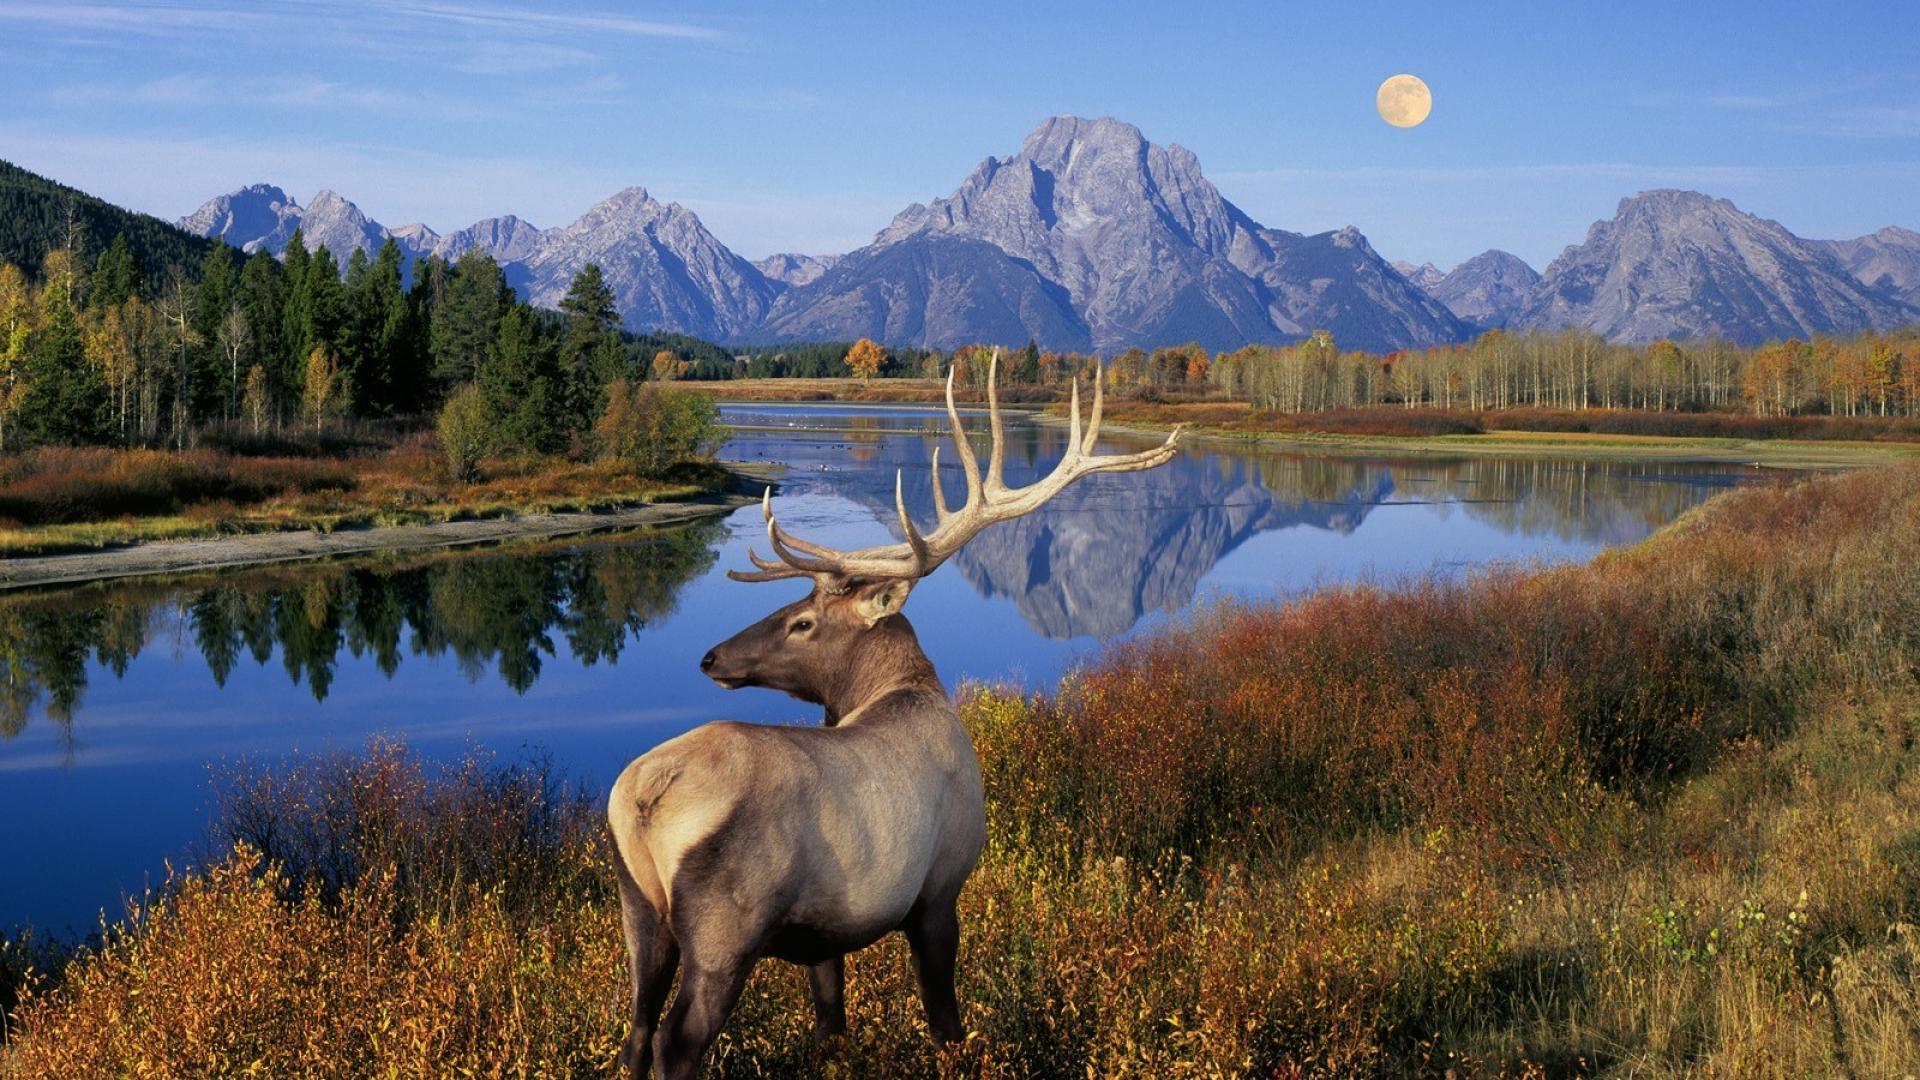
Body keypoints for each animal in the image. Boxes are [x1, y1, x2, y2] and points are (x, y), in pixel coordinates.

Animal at [606, 349, 1180, 1079]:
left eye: (802, 621)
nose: (712, 657)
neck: (904, 689)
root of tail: (644, 796)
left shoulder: (824, 933)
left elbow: (831, 1022)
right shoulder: (939, 889)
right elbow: (945, 1021)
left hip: (639, 912)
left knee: (636, 1031)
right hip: (723, 931)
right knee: (675, 1043)